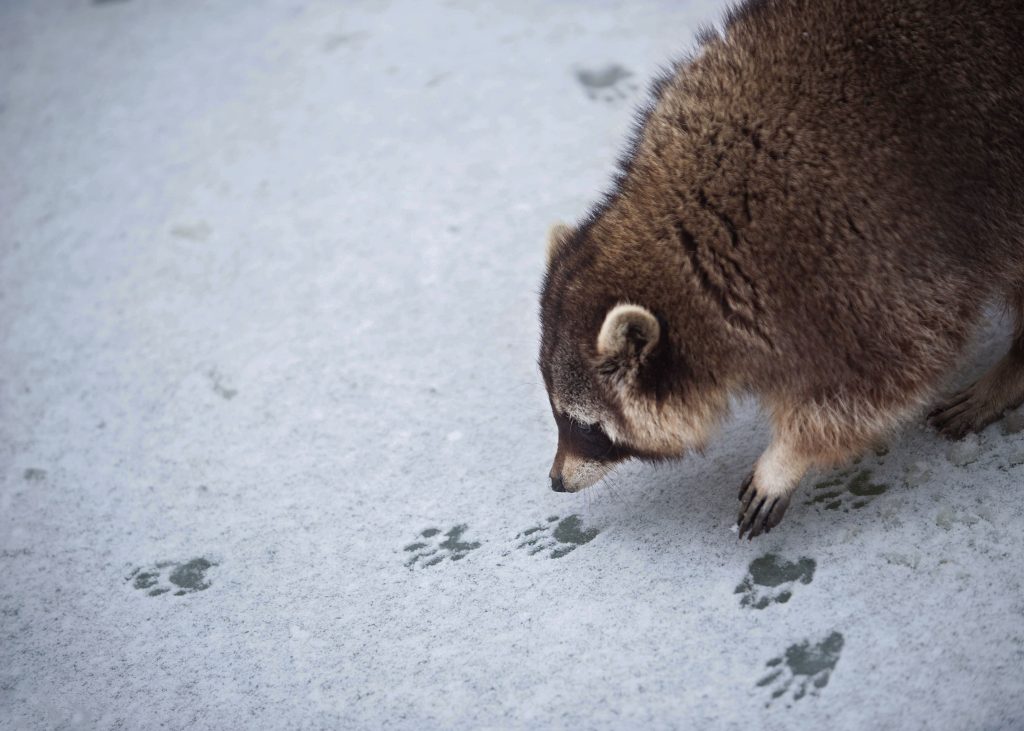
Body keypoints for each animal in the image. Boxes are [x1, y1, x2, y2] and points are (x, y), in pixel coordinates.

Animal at [538, 0, 1024, 538]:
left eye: (585, 427)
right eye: (557, 414)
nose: (555, 481)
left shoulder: (866, 261)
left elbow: (891, 372)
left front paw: (788, 456)